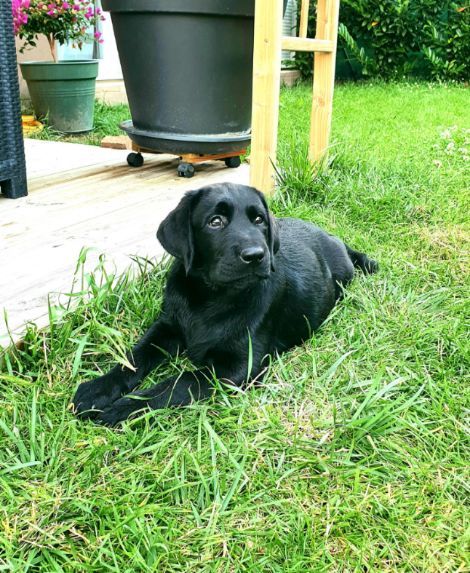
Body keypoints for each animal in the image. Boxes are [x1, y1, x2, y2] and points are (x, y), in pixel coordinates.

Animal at [75, 183, 378, 424]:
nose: (256, 255)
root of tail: (332, 237)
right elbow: (134, 356)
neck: (212, 296)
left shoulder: (237, 367)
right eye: (215, 221)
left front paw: (124, 407)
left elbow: (179, 382)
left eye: (259, 220)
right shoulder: (167, 327)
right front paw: (97, 389)